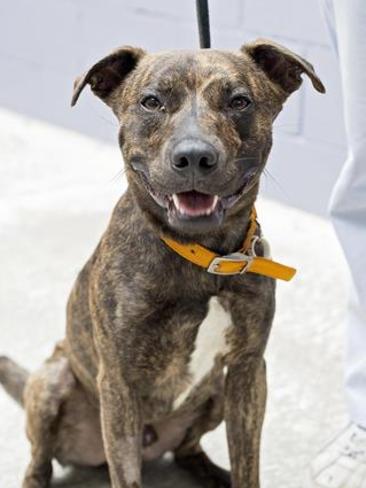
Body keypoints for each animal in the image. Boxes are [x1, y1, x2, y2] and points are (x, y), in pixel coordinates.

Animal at [0, 39, 326, 488]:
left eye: (239, 101)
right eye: (151, 101)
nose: (194, 157)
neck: (203, 256)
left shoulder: (248, 369)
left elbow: (248, 463)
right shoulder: (118, 383)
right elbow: (125, 473)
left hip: (216, 393)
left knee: (187, 449)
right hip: (52, 382)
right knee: (39, 462)